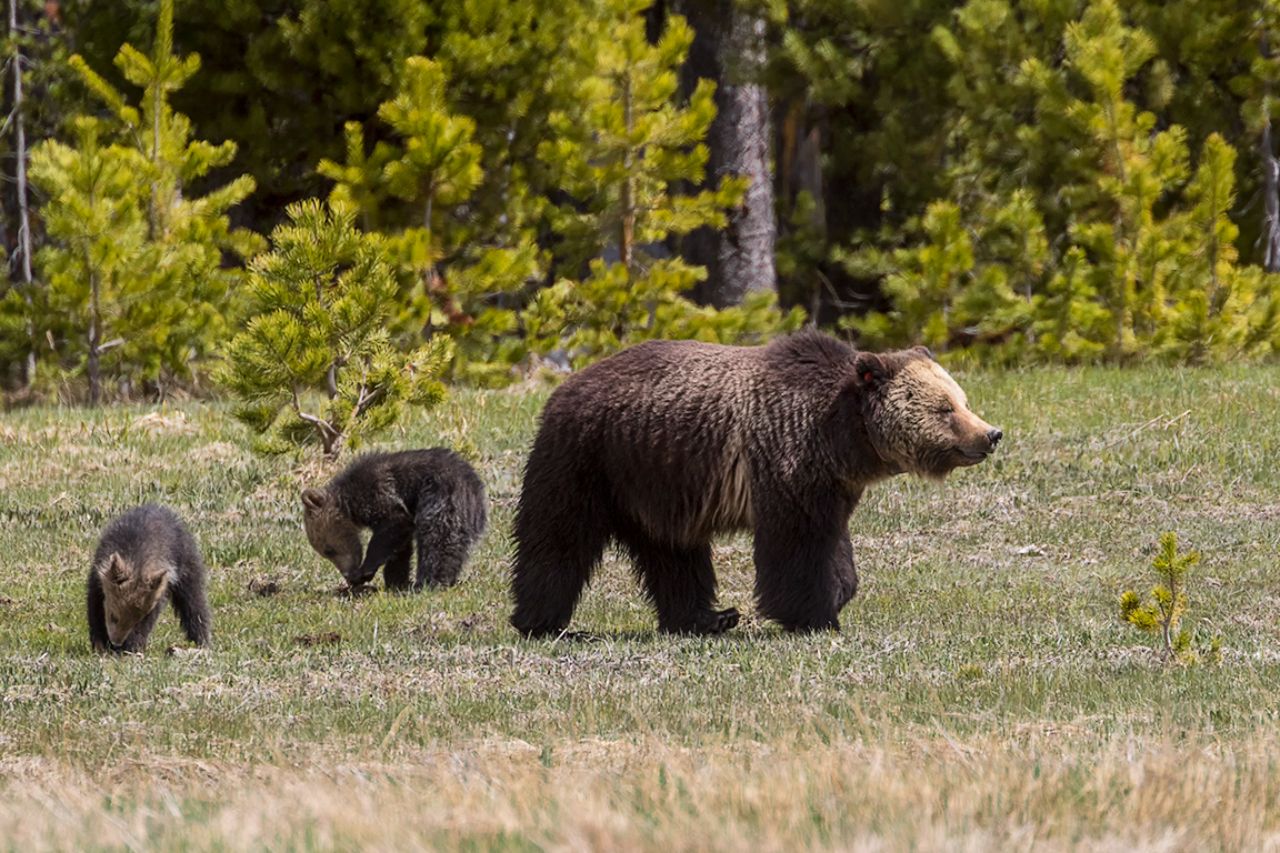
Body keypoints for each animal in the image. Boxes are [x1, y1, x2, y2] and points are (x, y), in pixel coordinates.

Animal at [87, 504, 212, 653]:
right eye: (113, 616)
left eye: (136, 621)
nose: (116, 643)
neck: (138, 559)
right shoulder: (97, 581)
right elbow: (95, 610)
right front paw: (100, 645)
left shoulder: (157, 594)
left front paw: (131, 647)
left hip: (189, 569)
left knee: (194, 602)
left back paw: (202, 642)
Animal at [301, 448, 488, 591]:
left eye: (328, 550)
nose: (347, 575)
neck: (349, 503)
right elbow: (399, 547)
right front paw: (396, 581)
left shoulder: (378, 493)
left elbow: (393, 526)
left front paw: (365, 572)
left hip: (441, 499)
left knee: (437, 541)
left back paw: (429, 582)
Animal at [510, 330, 1002, 637]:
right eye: (944, 408)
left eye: (962, 400)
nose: (991, 434)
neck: (844, 438)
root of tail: (565, 387)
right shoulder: (786, 458)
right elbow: (795, 548)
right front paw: (814, 614)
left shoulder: (831, 484)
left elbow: (833, 542)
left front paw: (840, 592)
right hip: (589, 458)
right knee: (557, 537)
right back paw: (540, 621)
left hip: (654, 480)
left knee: (672, 554)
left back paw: (706, 617)